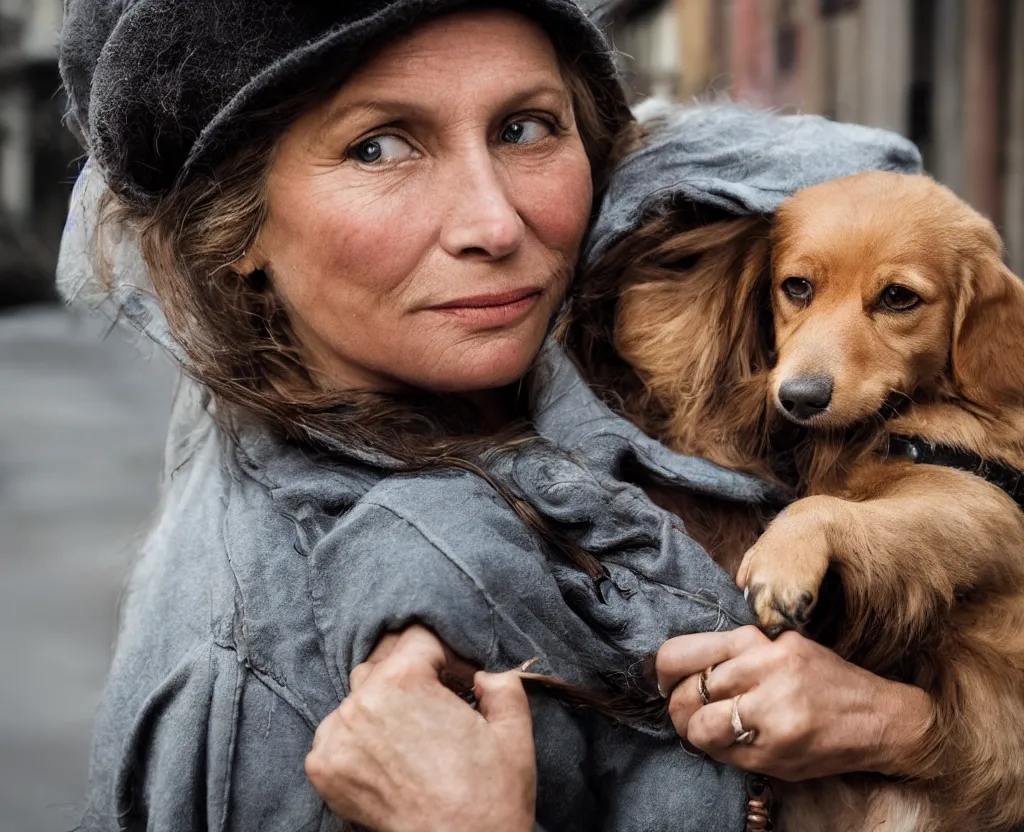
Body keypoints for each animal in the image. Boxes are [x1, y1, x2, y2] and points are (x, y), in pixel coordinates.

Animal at [573, 169, 1024, 832]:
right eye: (797, 287)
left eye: (899, 298)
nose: (799, 398)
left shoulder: (974, 505)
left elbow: (822, 508)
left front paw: (781, 563)